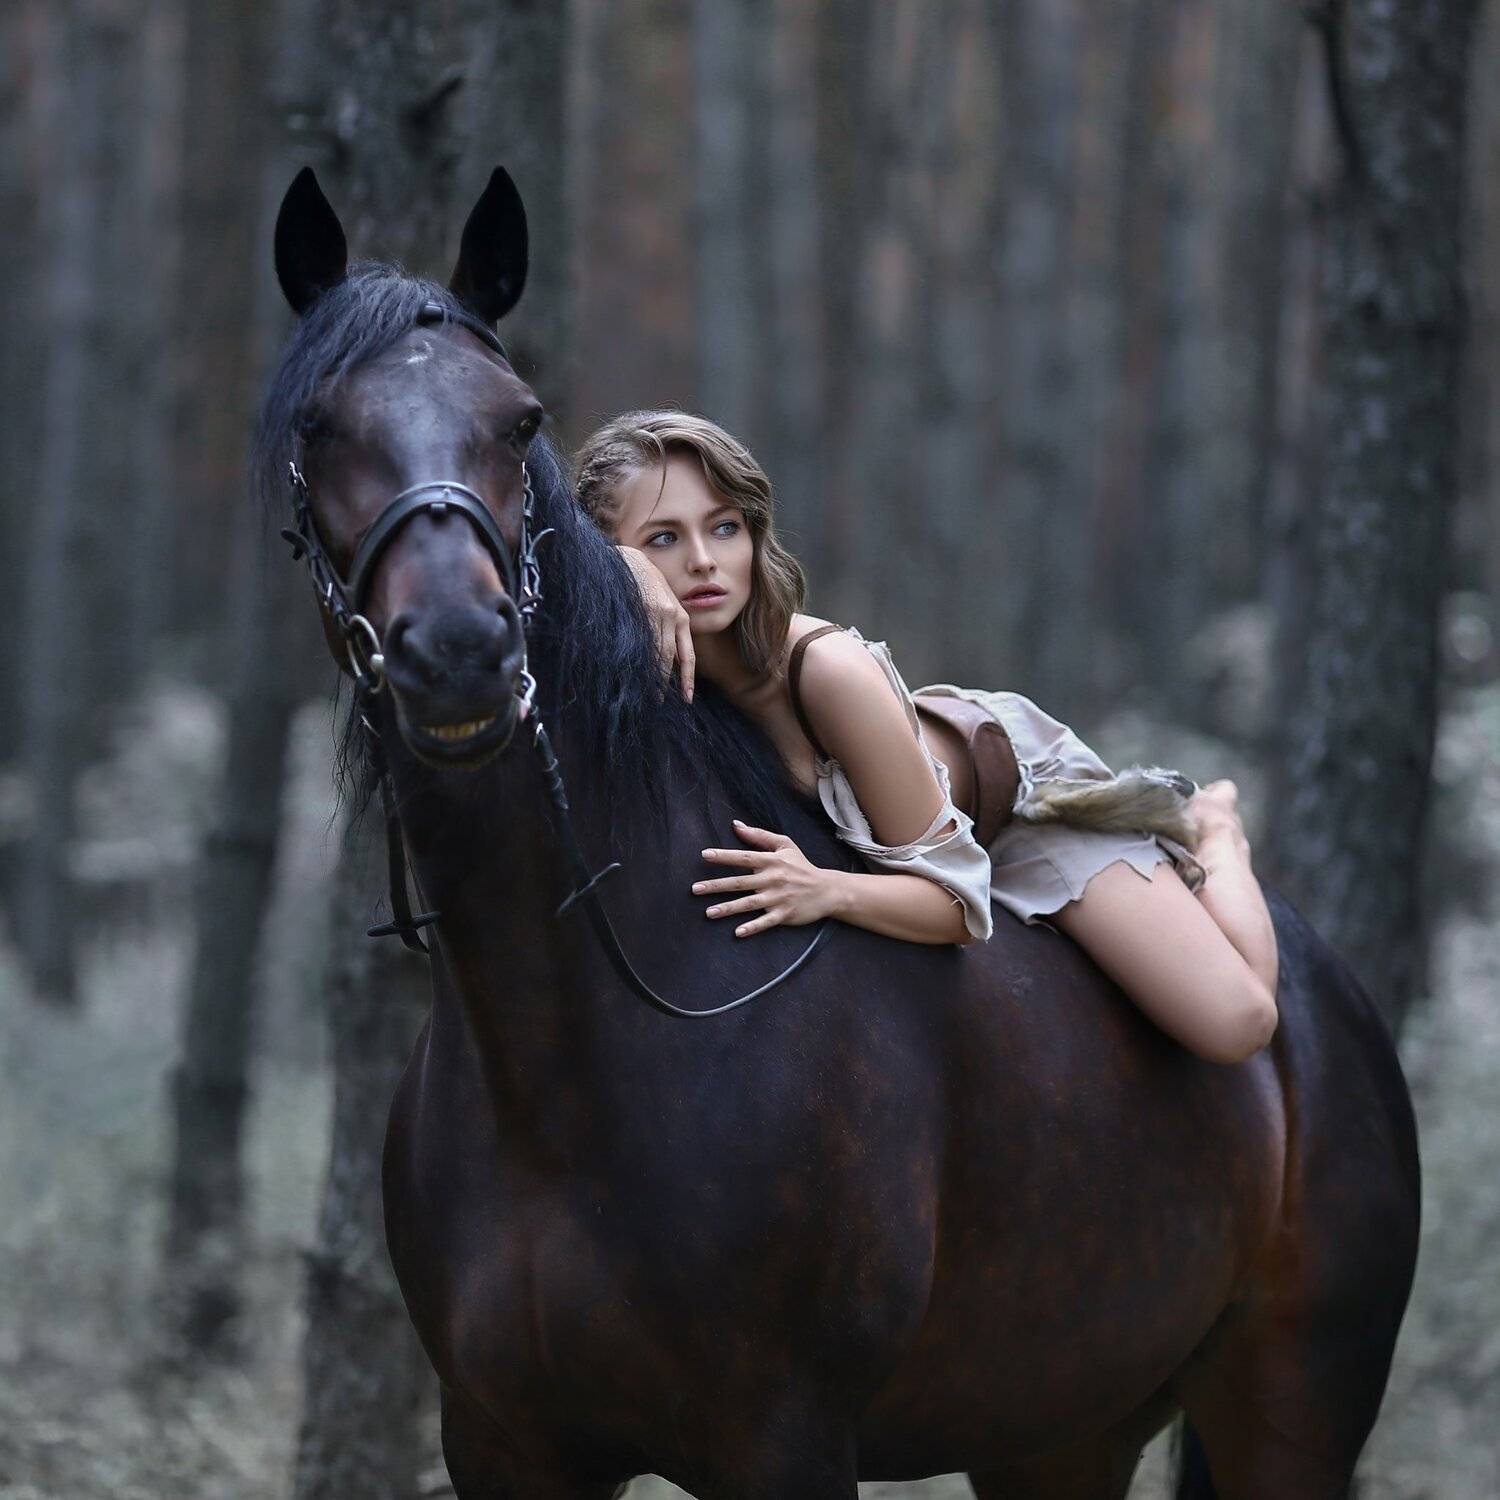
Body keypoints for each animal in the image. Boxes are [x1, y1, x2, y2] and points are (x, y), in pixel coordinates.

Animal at [260, 165, 1421, 1500]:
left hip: (1288, 1413)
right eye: (315, 427)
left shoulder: (783, 1438)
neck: (569, 1054)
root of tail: (1322, 1006)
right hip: (1061, 1430)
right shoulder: (503, 1445)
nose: (456, 652)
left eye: (519, 418)